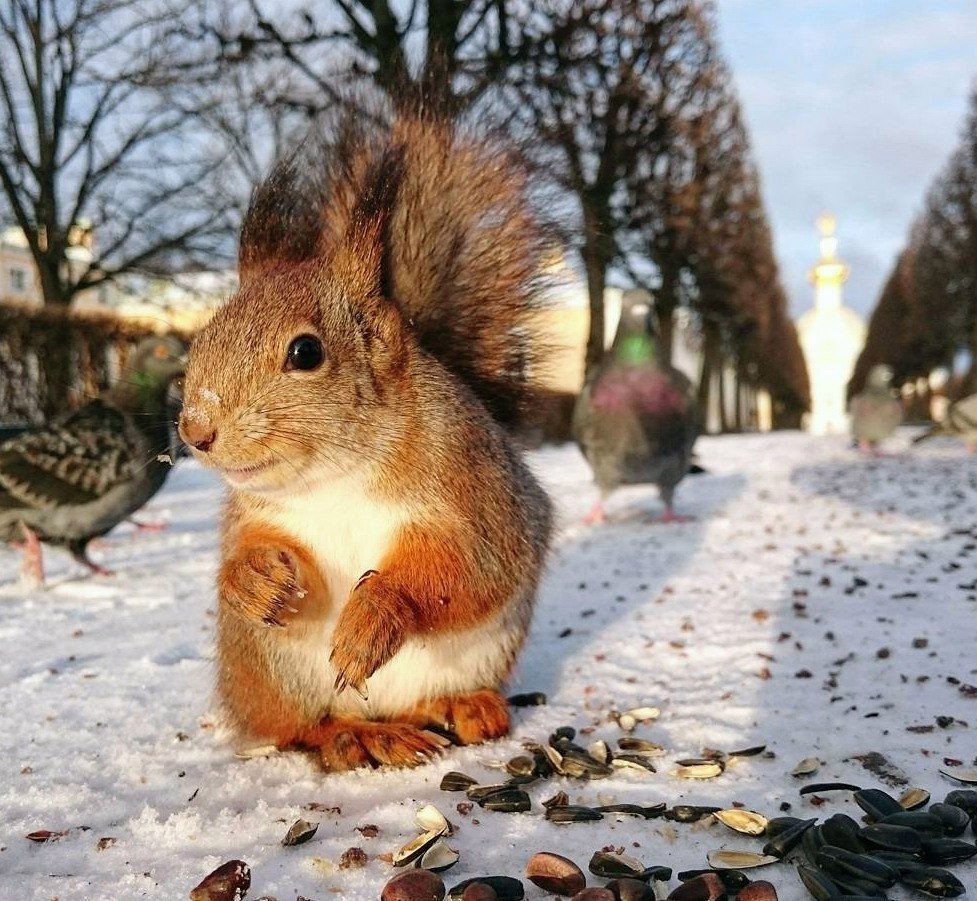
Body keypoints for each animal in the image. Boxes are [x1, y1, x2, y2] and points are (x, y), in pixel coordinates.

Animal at [178, 115, 554, 770]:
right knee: (300, 727)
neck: (336, 476)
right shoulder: (261, 516)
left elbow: (467, 571)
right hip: (271, 669)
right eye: (202, 336)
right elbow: (250, 553)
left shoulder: (477, 498)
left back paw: (461, 707)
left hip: (483, 650)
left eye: (306, 352)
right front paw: (253, 578)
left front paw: (376, 615)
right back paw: (356, 735)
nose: (196, 431)